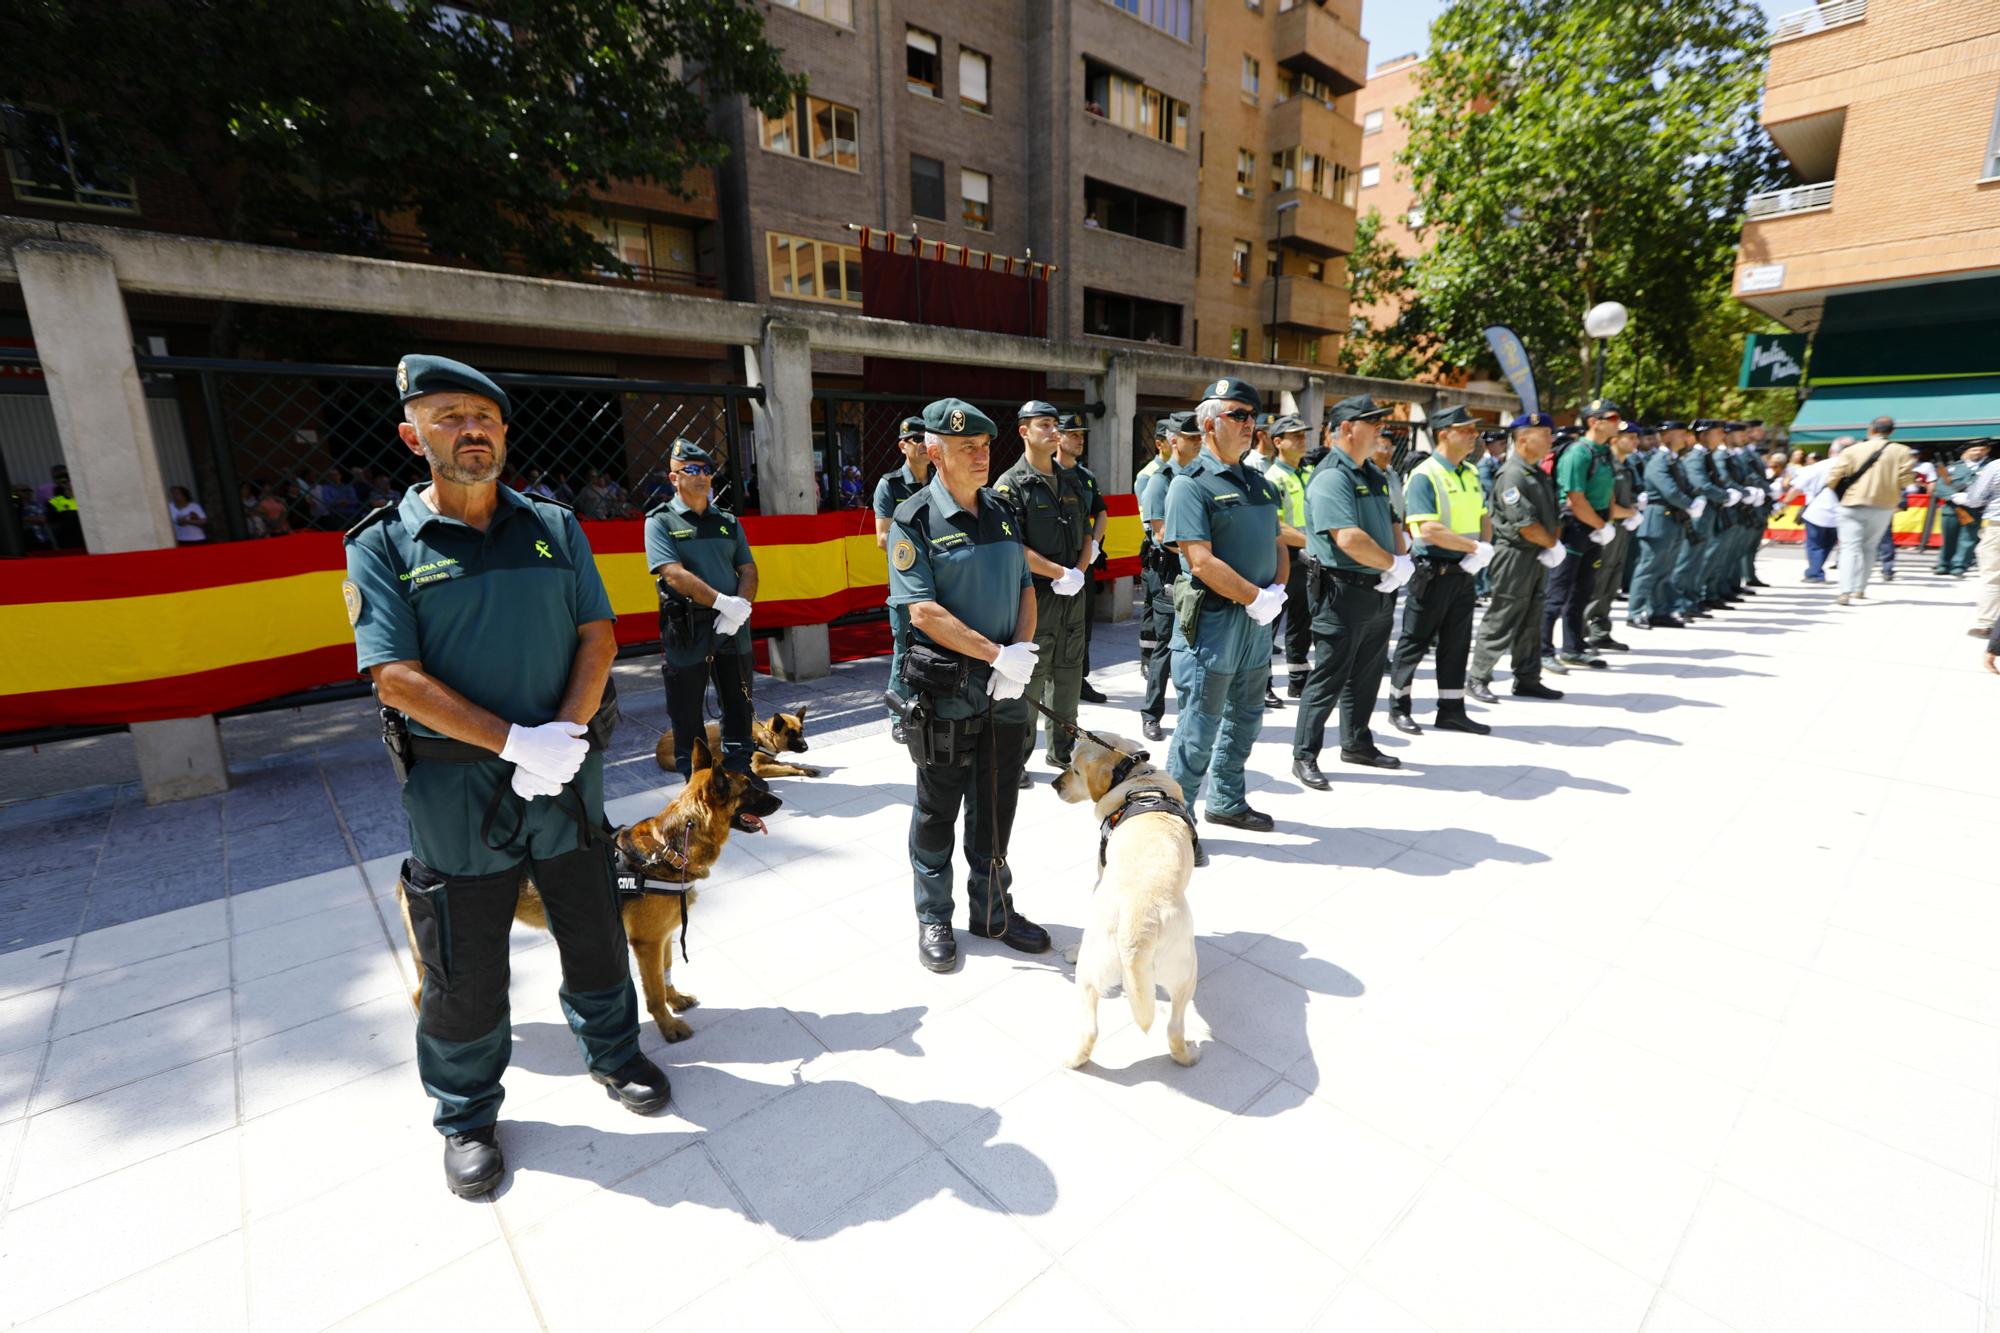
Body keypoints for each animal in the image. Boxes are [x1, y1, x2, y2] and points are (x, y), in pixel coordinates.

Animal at [396, 736, 780, 1040]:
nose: (778, 800)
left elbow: (667, 975)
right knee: (420, 997)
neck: (670, 848)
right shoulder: (646, 944)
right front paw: (668, 1026)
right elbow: (654, 991)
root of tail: (411, 867)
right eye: (749, 788)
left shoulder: (665, 937)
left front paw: (676, 1002)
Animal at [652, 704, 816, 780]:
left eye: (801, 731)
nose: (806, 747)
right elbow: (788, 767)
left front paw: (806, 769)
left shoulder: (770, 761)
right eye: (790, 734)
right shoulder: (758, 768)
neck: (766, 738)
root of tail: (658, 749)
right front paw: (803, 771)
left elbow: (788, 764)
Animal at [1048, 728, 1200, 1072]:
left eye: (1075, 771)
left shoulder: (1099, 873)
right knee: (1173, 1029)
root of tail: (1137, 928)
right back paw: (1188, 1055)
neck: (1134, 776)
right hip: (1185, 973)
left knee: (1090, 1027)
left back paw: (1071, 1059)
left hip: (1090, 968)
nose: (1054, 784)